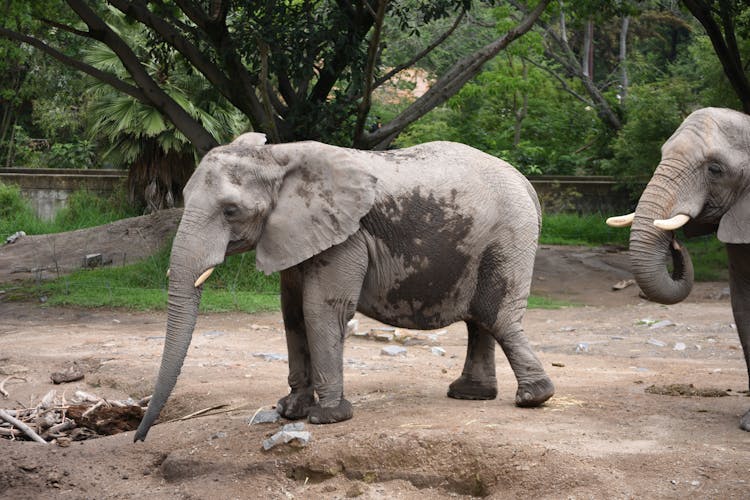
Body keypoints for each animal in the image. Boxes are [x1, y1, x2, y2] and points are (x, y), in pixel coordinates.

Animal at [135, 133, 556, 442]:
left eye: (230, 211)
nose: (139, 437)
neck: (277, 158)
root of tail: (527, 185)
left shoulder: (346, 236)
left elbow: (320, 309)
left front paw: (327, 417)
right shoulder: (295, 233)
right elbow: (291, 312)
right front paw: (289, 410)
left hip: (509, 236)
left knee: (496, 315)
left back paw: (532, 398)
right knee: (479, 320)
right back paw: (470, 394)